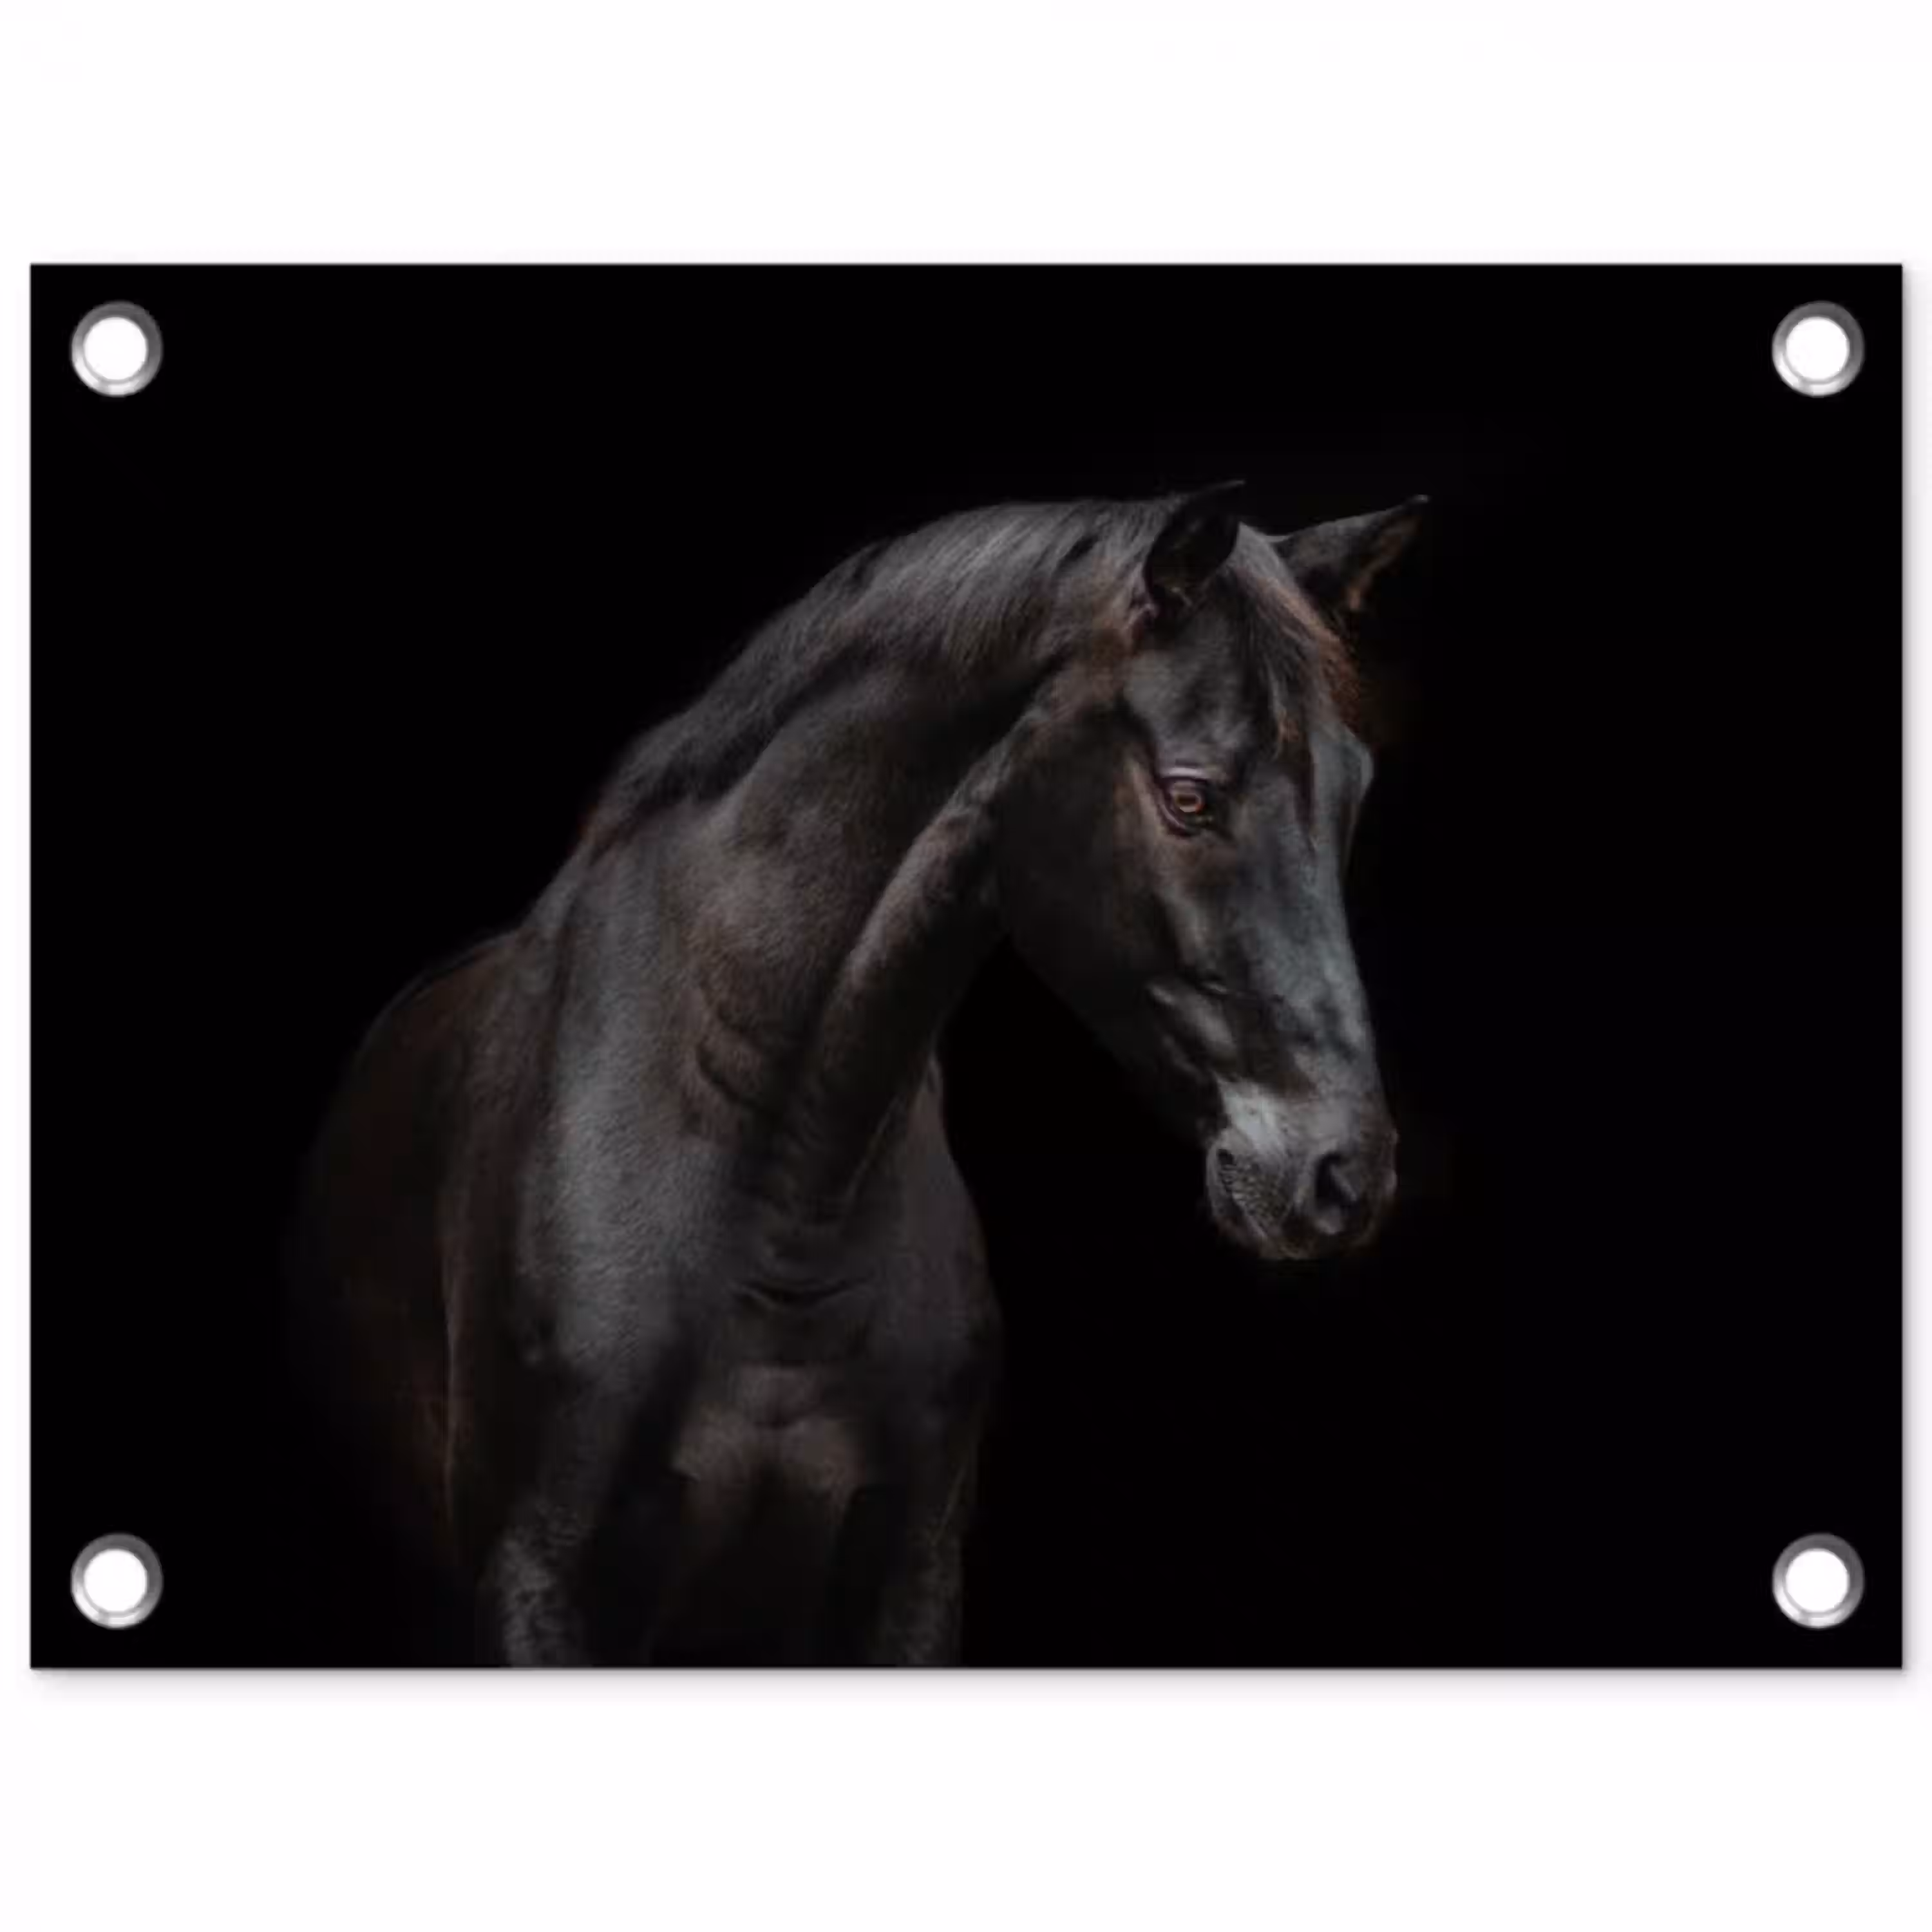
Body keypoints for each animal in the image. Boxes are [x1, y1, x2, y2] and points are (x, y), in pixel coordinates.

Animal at [288, 483, 1425, 1663]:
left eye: (1353, 793)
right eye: (1190, 796)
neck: (777, 1197)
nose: (1343, 1176)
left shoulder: (909, 1577)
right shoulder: (536, 1583)